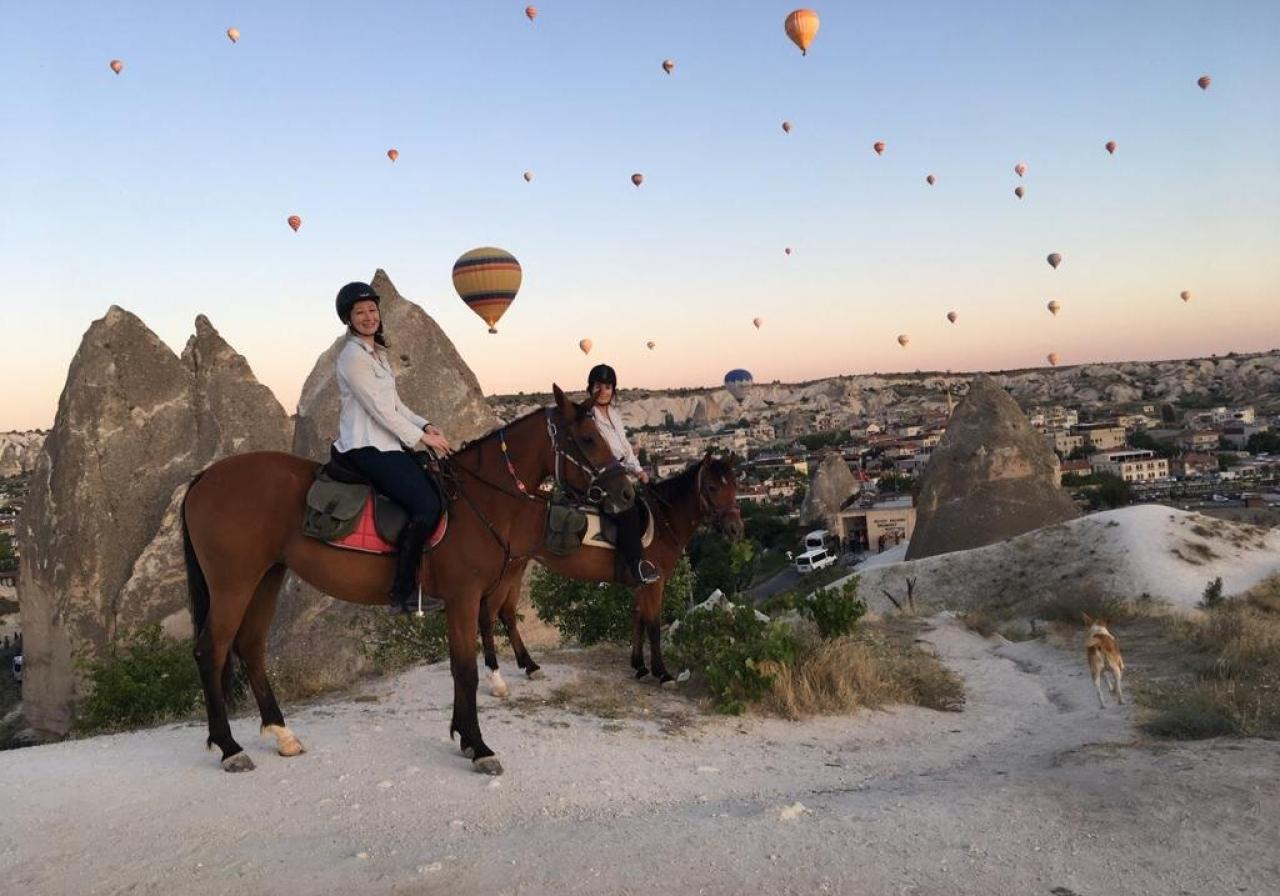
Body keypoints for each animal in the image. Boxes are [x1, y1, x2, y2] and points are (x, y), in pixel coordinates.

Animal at [181, 386, 634, 778]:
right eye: (589, 438)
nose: (627, 493)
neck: (478, 500)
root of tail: (204, 476)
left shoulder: (466, 600)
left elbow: (460, 666)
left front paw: (465, 739)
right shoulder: (463, 597)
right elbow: (465, 669)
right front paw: (479, 746)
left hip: (266, 578)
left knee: (250, 648)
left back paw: (281, 734)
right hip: (233, 583)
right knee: (211, 650)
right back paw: (230, 747)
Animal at [478, 455, 742, 691]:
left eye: (735, 486)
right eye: (712, 487)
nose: (735, 528)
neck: (664, 521)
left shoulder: (641, 581)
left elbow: (638, 618)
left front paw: (640, 667)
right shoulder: (654, 583)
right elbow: (653, 624)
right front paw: (662, 673)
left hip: (517, 566)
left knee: (507, 613)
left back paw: (530, 666)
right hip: (506, 571)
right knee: (488, 615)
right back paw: (496, 677)